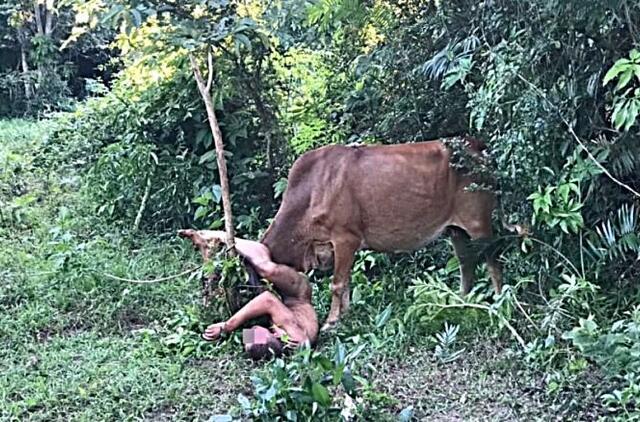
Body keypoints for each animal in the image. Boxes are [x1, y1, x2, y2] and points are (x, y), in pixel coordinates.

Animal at [258, 137, 502, 332]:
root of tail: (478, 147)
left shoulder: (345, 238)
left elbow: (337, 284)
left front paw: (331, 321)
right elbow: (346, 282)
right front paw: (345, 315)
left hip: (478, 222)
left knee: (493, 260)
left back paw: (500, 300)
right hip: (455, 230)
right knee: (465, 262)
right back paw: (462, 300)